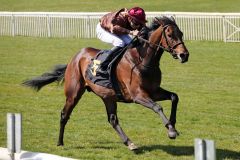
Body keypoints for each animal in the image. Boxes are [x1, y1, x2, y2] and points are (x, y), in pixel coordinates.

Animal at [23, 16, 190, 151]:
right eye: (170, 35)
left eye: (181, 33)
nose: (184, 55)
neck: (143, 60)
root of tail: (75, 57)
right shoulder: (138, 95)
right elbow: (157, 107)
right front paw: (171, 131)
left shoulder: (153, 91)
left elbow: (174, 97)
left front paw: (173, 125)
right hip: (74, 93)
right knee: (65, 114)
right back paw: (60, 143)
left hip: (108, 97)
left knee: (112, 120)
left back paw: (130, 143)